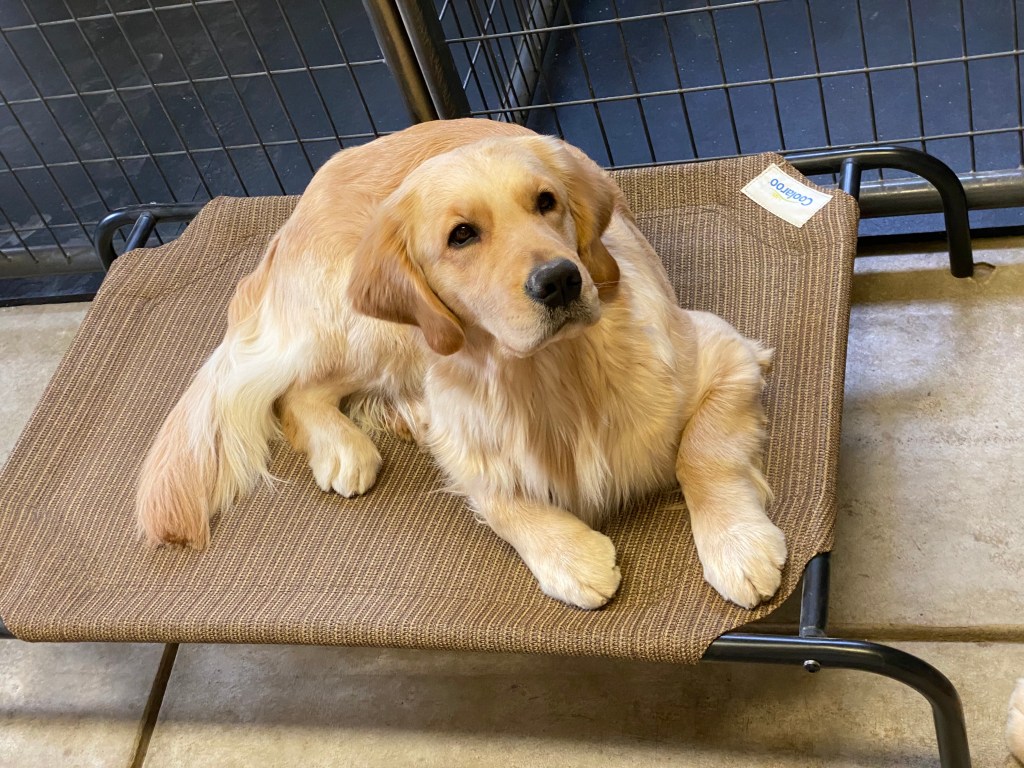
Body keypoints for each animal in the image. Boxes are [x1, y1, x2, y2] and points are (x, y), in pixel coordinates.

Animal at [136, 118, 786, 610]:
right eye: (462, 235)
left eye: (547, 202)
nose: (560, 280)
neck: (551, 375)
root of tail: (290, 221)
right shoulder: (464, 441)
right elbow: (498, 497)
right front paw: (570, 556)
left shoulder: (727, 353)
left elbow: (702, 450)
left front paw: (737, 545)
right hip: (374, 331)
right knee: (294, 391)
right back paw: (344, 448)